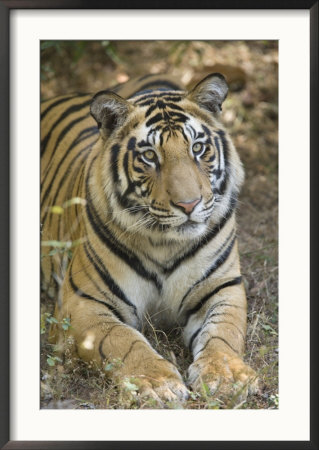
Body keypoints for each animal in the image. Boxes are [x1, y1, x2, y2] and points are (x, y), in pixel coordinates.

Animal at [41, 73, 258, 404]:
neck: (165, 244)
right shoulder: (82, 302)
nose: (189, 205)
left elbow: (224, 332)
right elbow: (122, 339)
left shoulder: (222, 288)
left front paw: (228, 377)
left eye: (197, 148)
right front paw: (158, 383)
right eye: (149, 156)